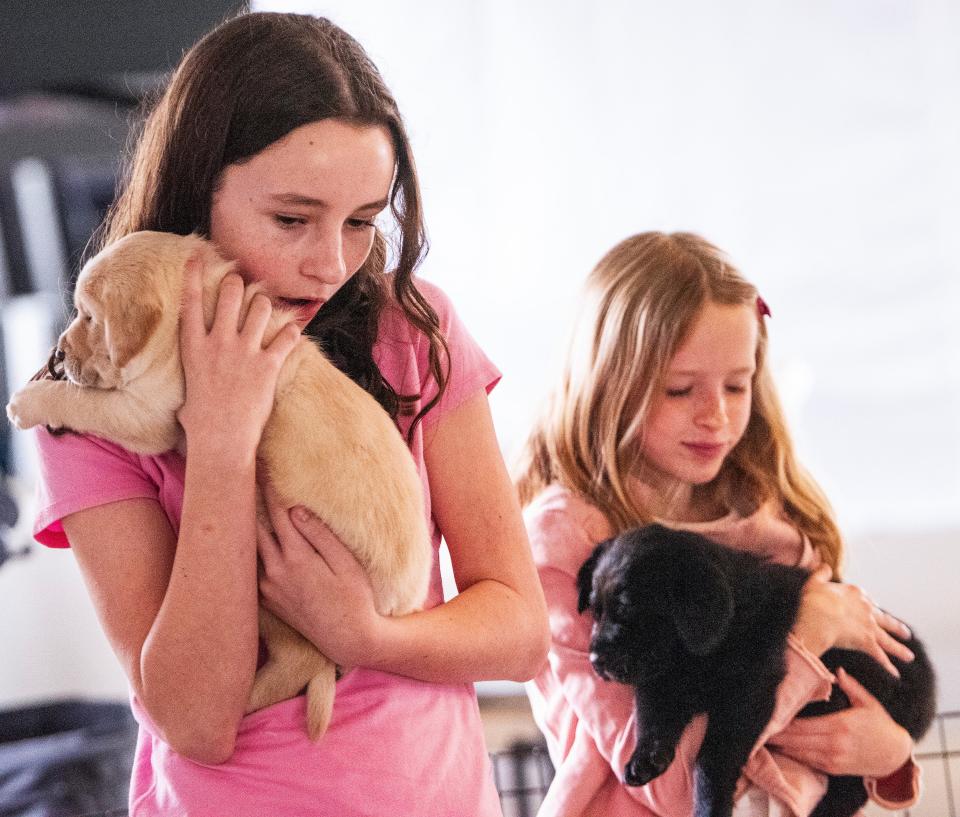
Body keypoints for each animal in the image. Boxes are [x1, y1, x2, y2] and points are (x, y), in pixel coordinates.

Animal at [5, 228, 434, 740]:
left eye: (88, 316)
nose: (55, 356)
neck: (197, 310)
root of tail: (399, 606)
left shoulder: (150, 412)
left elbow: (85, 402)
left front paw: (28, 400)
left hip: (268, 571)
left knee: (301, 659)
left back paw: (246, 704)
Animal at [572, 524, 932, 816]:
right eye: (595, 611)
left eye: (627, 609)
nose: (595, 661)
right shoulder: (658, 683)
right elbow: (652, 719)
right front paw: (645, 758)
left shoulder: (747, 694)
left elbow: (712, 759)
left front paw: (710, 807)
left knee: (852, 788)